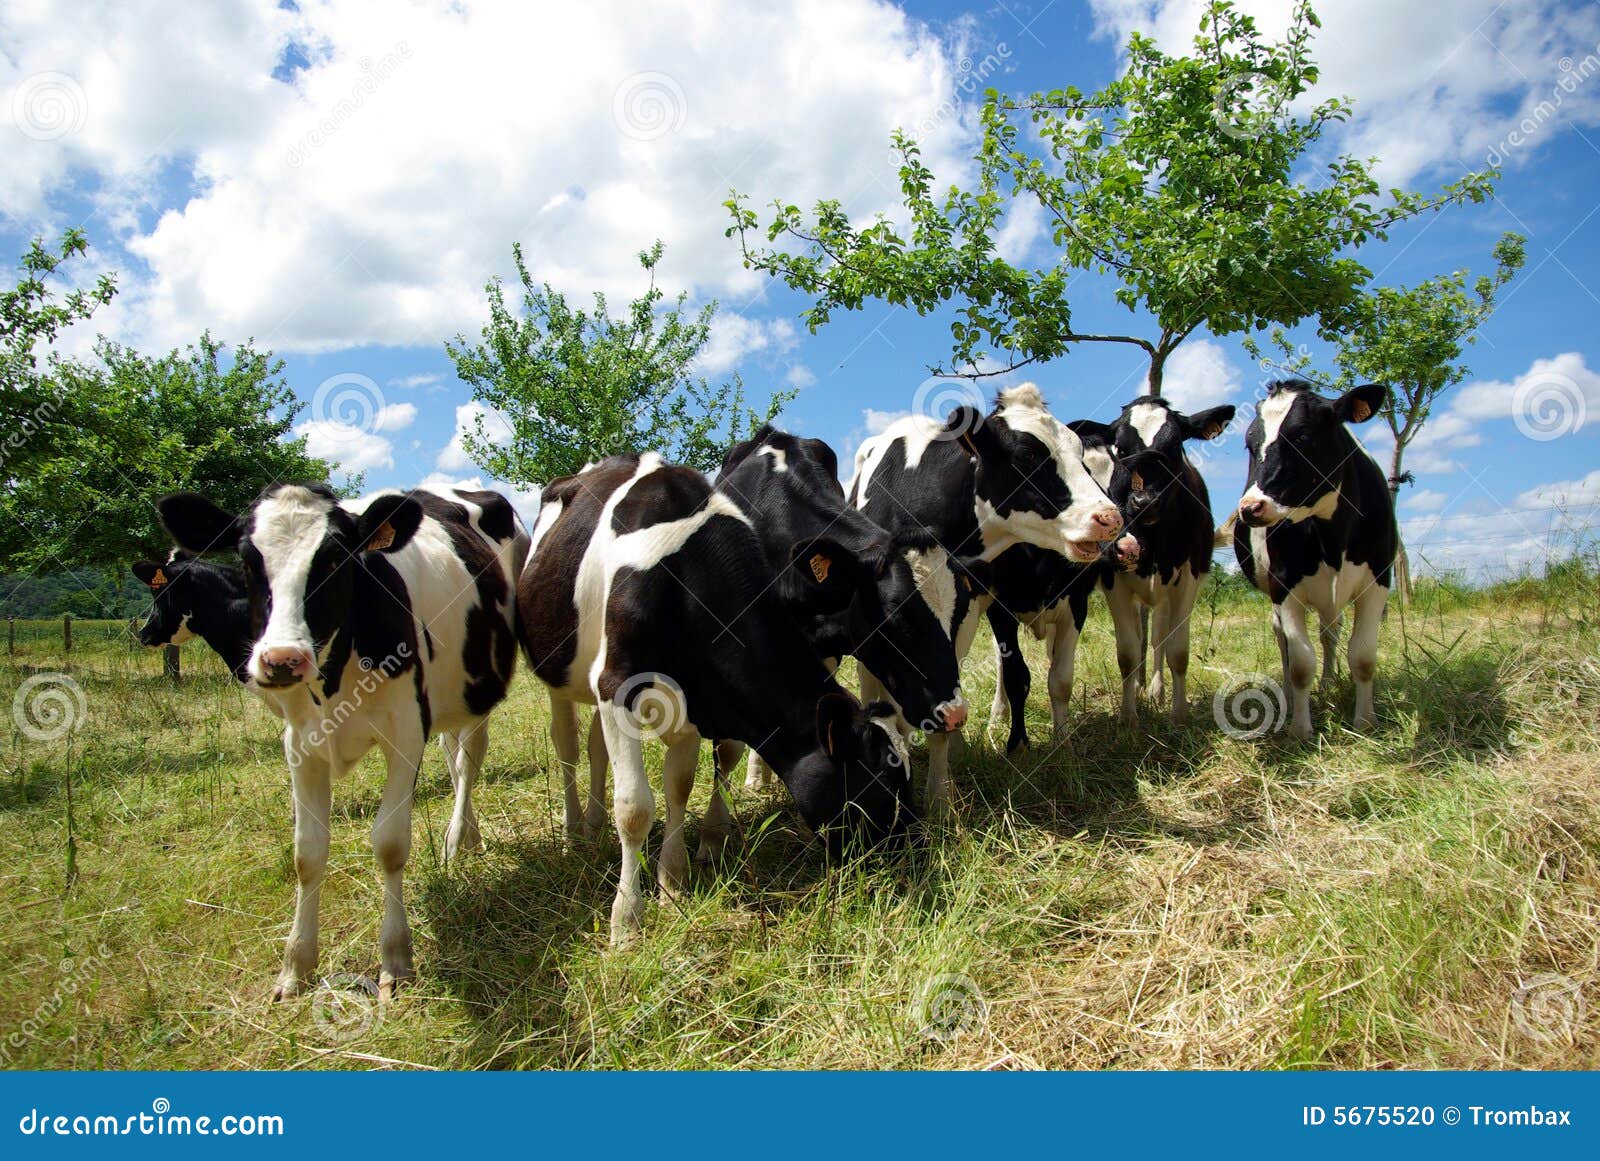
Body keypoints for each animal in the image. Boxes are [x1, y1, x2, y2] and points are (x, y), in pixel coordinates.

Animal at [155, 482, 521, 997]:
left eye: (335, 560)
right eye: (248, 560)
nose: (282, 660)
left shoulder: (406, 733)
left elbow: (390, 843)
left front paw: (395, 959)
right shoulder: (299, 746)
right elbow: (307, 854)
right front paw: (296, 966)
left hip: (476, 689)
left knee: (468, 760)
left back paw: (456, 839)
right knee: (454, 756)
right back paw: (465, 836)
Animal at [515, 450, 915, 946]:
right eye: (879, 783)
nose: (912, 846)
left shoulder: (692, 698)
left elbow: (679, 785)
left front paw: (672, 885)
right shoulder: (617, 684)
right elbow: (634, 808)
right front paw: (626, 921)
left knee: (595, 749)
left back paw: (592, 821)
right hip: (563, 675)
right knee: (567, 744)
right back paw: (574, 832)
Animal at [1228, 382, 1395, 735]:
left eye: (1302, 436)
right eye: (1250, 444)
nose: (1250, 507)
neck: (1333, 535)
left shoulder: (1377, 582)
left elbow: (1363, 657)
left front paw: (1365, 721)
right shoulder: (1284, 587)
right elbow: (1301, 663)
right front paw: (1301, 729)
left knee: (1330, 631)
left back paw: (1329, 684)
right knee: (1284, 639)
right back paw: (1291, 696)